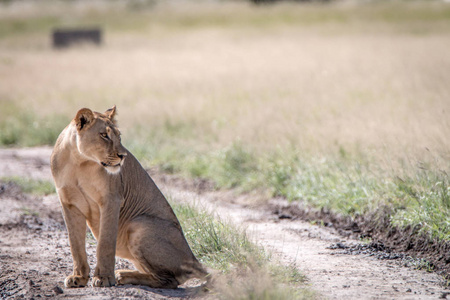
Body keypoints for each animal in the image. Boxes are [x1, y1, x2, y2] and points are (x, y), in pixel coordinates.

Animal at [50, 106, 208, 288]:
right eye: (104, 135)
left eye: (119, 136)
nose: (123, 156)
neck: (79, 161)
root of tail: (193, 258)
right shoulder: (68, 204)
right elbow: (75, 244)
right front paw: (78, 277)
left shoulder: (112, 199)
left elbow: (105, 243)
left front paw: (104, 278)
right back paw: (123, 274)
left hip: (138, 224)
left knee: (170, 281)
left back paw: (121, 275)